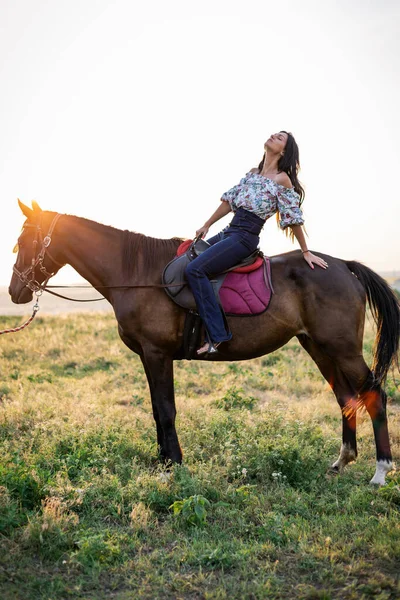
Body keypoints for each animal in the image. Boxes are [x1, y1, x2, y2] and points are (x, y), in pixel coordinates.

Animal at [9, 204, 400, 486]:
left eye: (25, 242)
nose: (15, 291)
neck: (137, 274)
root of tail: (343, 266)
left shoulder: (157, 353)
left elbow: (166, 409)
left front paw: (173, 465)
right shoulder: (149, 356)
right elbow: (157, 410)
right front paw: (163, 461)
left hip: (343, 349)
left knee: (373, 395)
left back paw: (380, 471)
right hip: (318, 348)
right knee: (346, 399)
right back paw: (341, 462)